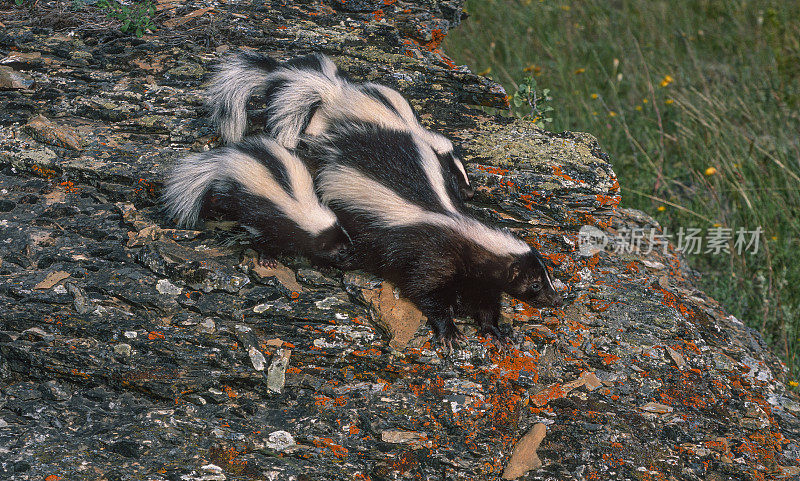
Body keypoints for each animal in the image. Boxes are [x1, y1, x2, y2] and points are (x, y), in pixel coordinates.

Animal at [161, 134, 348, 266]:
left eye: (346, 238)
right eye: (340, 250)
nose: (350, 256)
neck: (301, 206)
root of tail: (226, 160)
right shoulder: (268, 219)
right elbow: (263, 239)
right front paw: (268, 259)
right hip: (232, 188)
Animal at [203, 51, 476, 202]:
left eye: (464, 172)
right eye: (452, 174)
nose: (470, 193)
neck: (412, 128)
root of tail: (335, 94)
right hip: (328, 120)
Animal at [308, 123, 564, 348]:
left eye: (547, 278)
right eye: (535, 284)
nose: (555, 299)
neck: (463, 228)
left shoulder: (480, 278)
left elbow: (484, 302)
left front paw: (494, 332)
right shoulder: (434, 255)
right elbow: (426, 291)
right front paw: (449, 332)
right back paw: (326, 265)